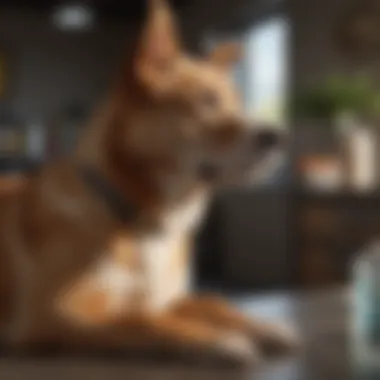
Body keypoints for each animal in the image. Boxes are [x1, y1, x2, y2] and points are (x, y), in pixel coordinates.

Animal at [0, 0, 296, 366]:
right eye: (206, 101)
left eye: (235, 104)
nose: (279, 137)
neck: (146, 225)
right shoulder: (51, 314)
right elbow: (141, 319)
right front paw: (214, 338)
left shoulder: (170, 298)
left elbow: (213, 302)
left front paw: (261, 326)